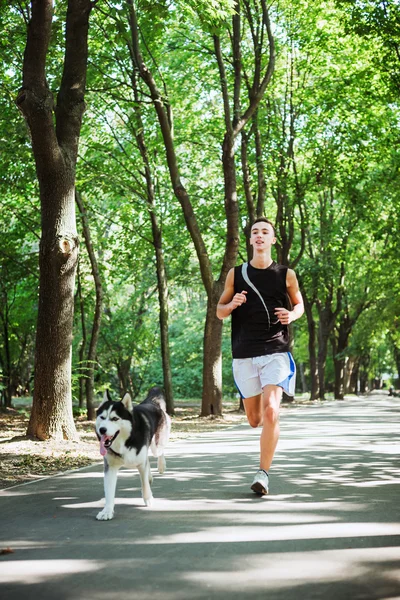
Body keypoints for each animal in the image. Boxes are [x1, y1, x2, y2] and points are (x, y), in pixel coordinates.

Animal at [95, 384, 170, 520]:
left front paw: (148, 499)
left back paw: (161, 466)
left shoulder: (140, 463)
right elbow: (109, 492)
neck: (126, 441)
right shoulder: (110, 467)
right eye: (102, 417)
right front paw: (107, 511)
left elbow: (144, 483)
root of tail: (151, 402)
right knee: (148, 461)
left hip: (156, 446)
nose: (102, 430)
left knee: (159, 452)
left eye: (115, 418)